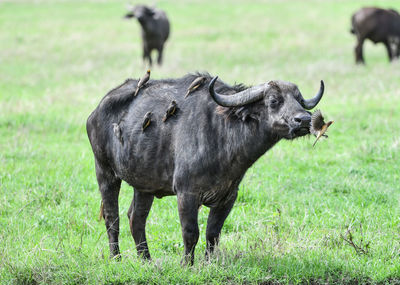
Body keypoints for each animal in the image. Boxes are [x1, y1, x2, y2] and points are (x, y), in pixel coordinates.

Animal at [86, 73, 324, 264]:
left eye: (299, 99)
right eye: (274, 100)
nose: (304, 119)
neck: (222, 133)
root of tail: (96, 111)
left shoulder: (228, 197)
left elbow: (213, 233)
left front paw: (209, 262)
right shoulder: (186, 193)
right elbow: (191, 232)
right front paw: (187, 264)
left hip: (144, 186)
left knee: (136, 218)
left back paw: (146, 260)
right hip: (104, 172)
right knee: (112, 217)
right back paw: (116, 257)